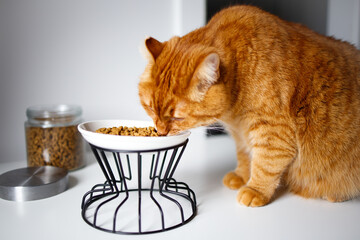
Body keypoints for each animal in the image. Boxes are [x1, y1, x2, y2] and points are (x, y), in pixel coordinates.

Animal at [139, 6, 360, 208]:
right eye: (150, 108)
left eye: (177, 117)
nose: (160, 131)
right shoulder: (240, 133)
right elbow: (245, 155)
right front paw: (242, 176)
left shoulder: (274, 133)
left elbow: (266, 164)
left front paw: (255, 190)